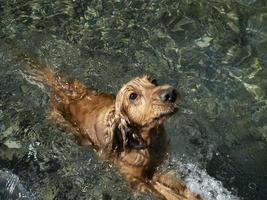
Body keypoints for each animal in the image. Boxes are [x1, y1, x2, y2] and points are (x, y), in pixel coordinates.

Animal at [23, 59, 203, 200]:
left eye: (154, 81)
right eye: (133, 96)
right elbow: (161, 190)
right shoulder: (135, 179)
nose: (170, 93)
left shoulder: (159, 165)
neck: (149, 142)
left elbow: (174, 185)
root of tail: (62, 89)